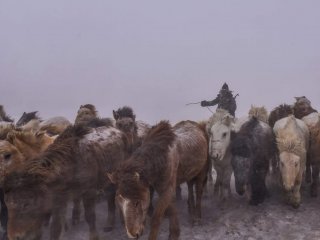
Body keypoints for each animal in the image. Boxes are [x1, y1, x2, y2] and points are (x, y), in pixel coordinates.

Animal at [2, 124, 130, 240]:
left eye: (27, 204)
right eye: (7, 204)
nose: (15, 236)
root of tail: (119, 131)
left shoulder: (89, 192)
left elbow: (90, 217)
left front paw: (94, 236)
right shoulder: (60, 201)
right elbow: (56, 228)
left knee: (112, 198)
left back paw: (113, 223)